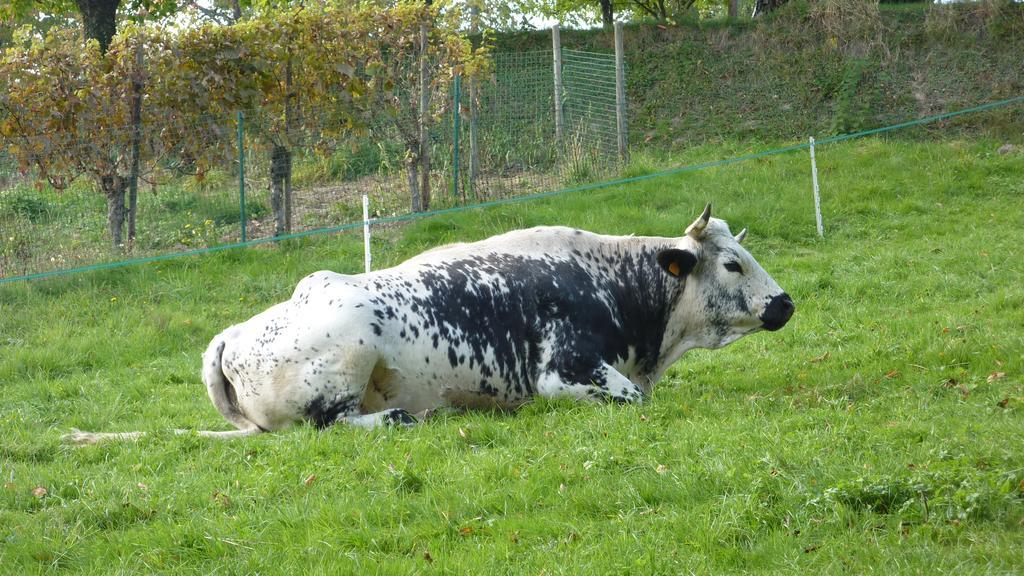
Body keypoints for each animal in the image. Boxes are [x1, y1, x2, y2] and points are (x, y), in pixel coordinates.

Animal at [68, 203, 790, 440]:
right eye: (731, 263)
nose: (784, 303)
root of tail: (233, 335)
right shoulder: (564, 372)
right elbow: (630, 400)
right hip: (348, 354)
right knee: (325, 428)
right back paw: (397, 418)